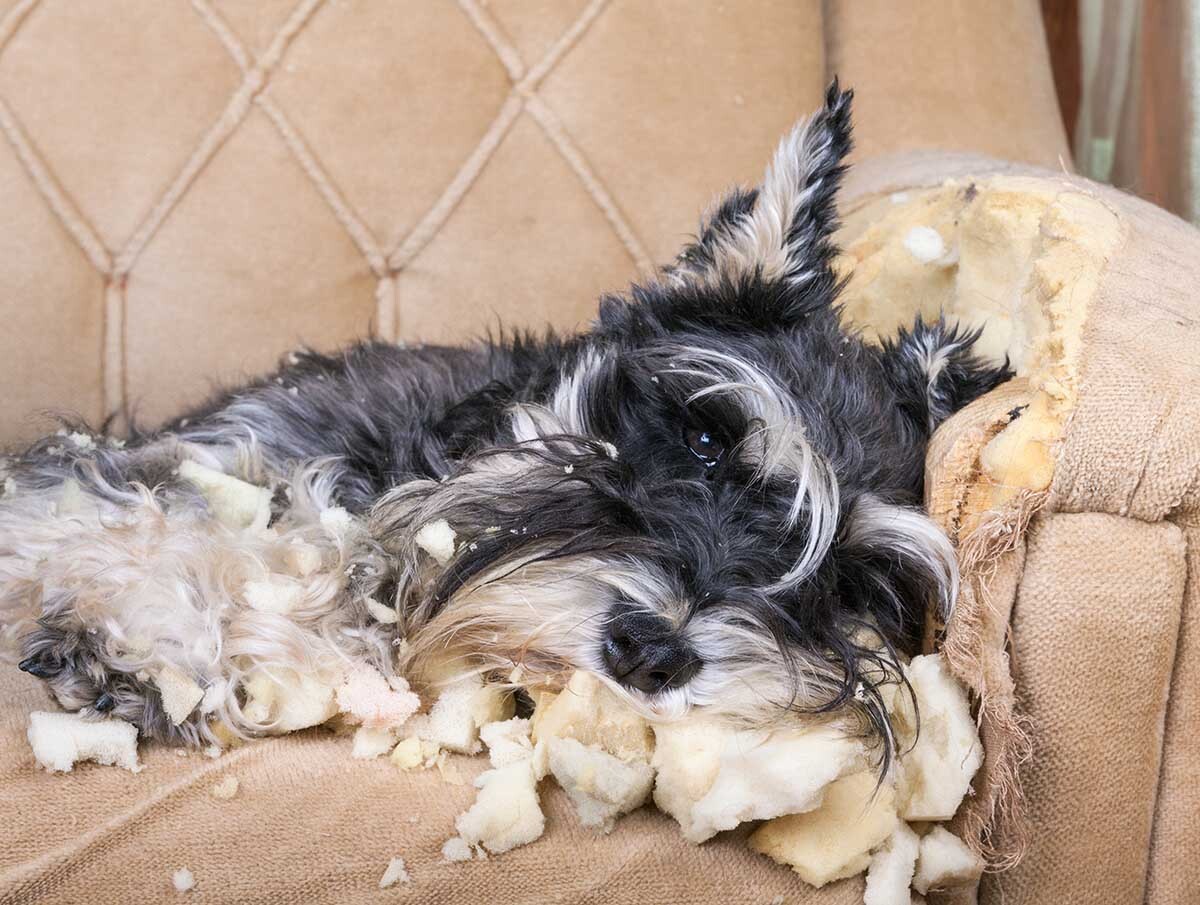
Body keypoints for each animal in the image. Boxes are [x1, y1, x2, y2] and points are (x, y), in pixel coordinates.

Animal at [4, 86, 1008, 763]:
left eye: (854, 580)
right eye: (705, 437)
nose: (651, 652)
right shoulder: (215, 451)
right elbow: (198, 526)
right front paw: (152, 640)